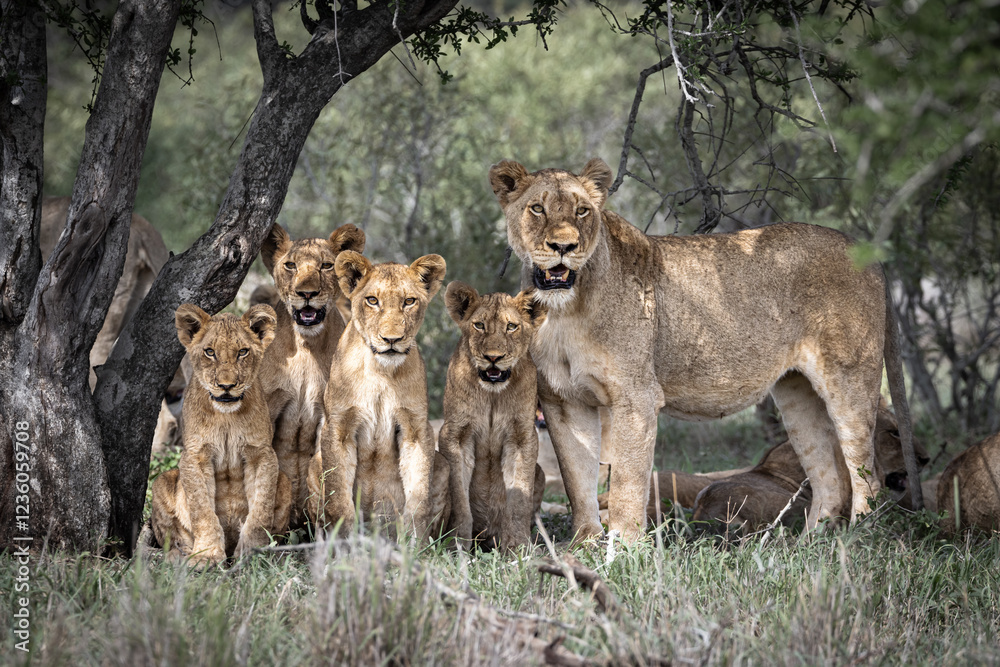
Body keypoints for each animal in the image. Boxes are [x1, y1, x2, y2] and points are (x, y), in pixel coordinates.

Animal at [150, 303, 291, 564]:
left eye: (243, 352)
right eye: (209, 352)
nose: (227, 386)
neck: (226, 416)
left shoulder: (261, 454)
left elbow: (261, 509)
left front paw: (253, 553)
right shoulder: (195, 456)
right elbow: (202, 511)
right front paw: (206, 555)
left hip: (285, 481)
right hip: (161, 482)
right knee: (170, 536)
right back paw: (179, 554)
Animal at [258, 223, 366, 527]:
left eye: (326, 265)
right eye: (291, 265)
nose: (307, 293)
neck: (306, 345)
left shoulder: (331, 412)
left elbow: (325, 472)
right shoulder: (268, 404)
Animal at [305, 252, 450, 540]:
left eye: (409, 301)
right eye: (372, 300)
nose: (391, 339)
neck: (381, 371)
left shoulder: (416, 429)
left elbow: (418, 496)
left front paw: (414, 546)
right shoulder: (338, 427)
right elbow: (339, 500)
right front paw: (344, 545)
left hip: (442, 465)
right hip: (314, 466)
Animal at [438, 283, 548, 550]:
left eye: (511, 326)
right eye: (479, 325)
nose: (493, 358)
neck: (492, 395)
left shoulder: (522, 437)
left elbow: (519, 498)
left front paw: (518, 547)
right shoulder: (455, 435)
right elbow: (460, 499)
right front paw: (457, 546)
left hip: (540, 473)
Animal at [489, 158, 920, 541]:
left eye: (582, 211)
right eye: (537, 208)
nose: (564, 246)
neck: (568, 307)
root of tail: (863, 249)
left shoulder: (636, 397)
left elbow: (628, 483)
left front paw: (623, 550)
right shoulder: (564, 401)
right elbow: (578, 484)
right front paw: (584, 547)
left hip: (849, 380)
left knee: (866, 473)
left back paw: (859, 539)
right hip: (798, 394)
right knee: (830, 478)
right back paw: (811, 547)